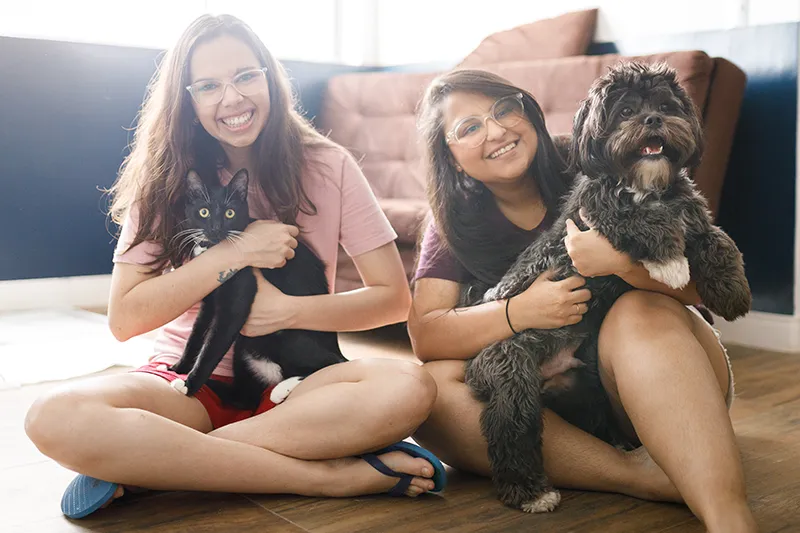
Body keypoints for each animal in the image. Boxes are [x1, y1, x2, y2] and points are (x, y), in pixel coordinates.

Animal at [167, 168, 346, 410]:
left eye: (230, 213)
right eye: (203, 212)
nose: (215, 228)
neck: (214, 250)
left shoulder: (239, 297)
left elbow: (212, 347)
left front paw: (189, 386)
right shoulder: (209, 302)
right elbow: (196, 336)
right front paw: (179, 367)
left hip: (286, 336)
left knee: (332, 362)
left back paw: (281, 390)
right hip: (243, 350)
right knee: (244, 398)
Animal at [462, 61, 752, 512]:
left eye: (666, 106)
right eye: (626, 111)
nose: (652, 120)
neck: (645, 184)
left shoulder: (693, 217)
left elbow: (718, 241)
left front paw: (732, 290)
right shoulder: (597, 210)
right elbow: (640, 219)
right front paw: (670, 263)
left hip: (584, 389)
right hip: (512, 374)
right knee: (509, 428)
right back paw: (531, 492)